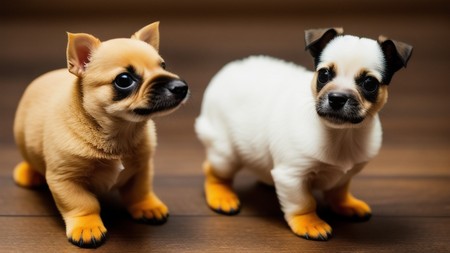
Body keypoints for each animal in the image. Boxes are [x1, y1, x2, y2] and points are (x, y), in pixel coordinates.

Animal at [12, 21, 188, 247]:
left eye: (163, 67)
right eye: (124, 80)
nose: (180, 87)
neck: (121, 131)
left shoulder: (142, 168)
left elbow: (140, 190)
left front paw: (147, 206)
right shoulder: (66, 180)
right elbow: (83, 204)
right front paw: (87, 226)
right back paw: (29, 173)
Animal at [194, 27, 412, 239]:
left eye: (369, 84)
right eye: (324, 75)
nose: (337, 98)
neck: (342, 134)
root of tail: (231, 68)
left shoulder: (344, 176)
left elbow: (339, 191)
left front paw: (345, 204)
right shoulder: (292, 176)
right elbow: (303, 202)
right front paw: (309, 223)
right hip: (225, 153)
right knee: (212, 170)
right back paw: (221, 196)